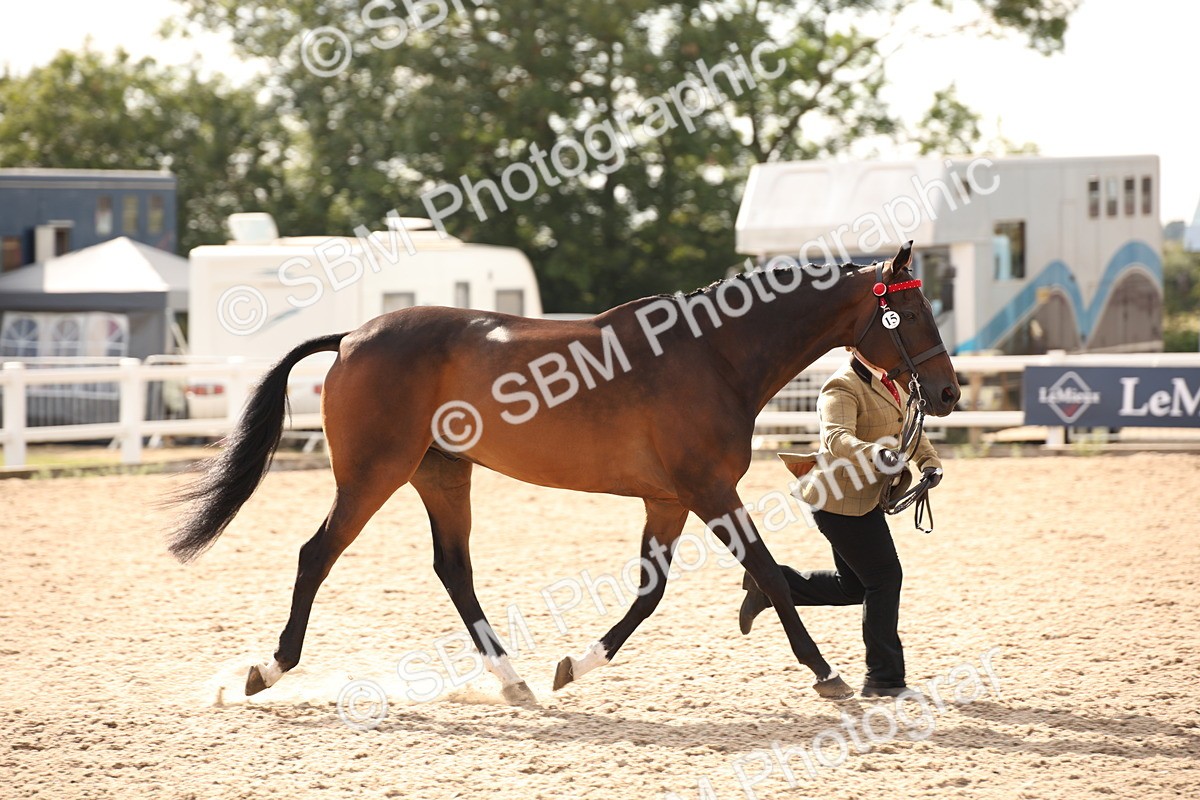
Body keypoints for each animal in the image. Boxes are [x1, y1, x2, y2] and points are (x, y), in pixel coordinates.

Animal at [167, 241, 960, 704]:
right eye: (916, 312)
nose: (949, 393)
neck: (713, 355)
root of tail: (354, 336)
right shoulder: (709, 491)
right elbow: (765, 571)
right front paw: (827, 673)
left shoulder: (668, 500)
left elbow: (650, 594)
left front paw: (574, 665)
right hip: (373, 474)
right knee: (317, 554)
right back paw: (266, 671)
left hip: (441, 476)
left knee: (453, 569)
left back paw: (515, 680)